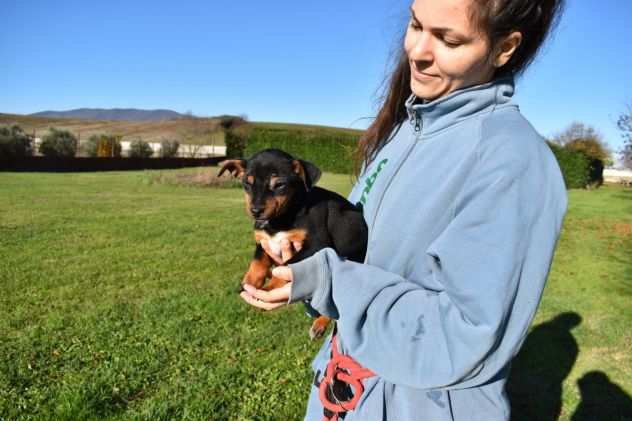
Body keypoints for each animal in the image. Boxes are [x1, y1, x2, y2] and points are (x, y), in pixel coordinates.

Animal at [218, 148, 368, 338]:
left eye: (279, 184)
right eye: (247, 183)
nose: (256, 211)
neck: (279, 220)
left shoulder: (316, 244)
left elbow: (286, 265)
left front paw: (268, 289)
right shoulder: (263, 242)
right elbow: (257, 263)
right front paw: (248, 282)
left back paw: (320, 324)